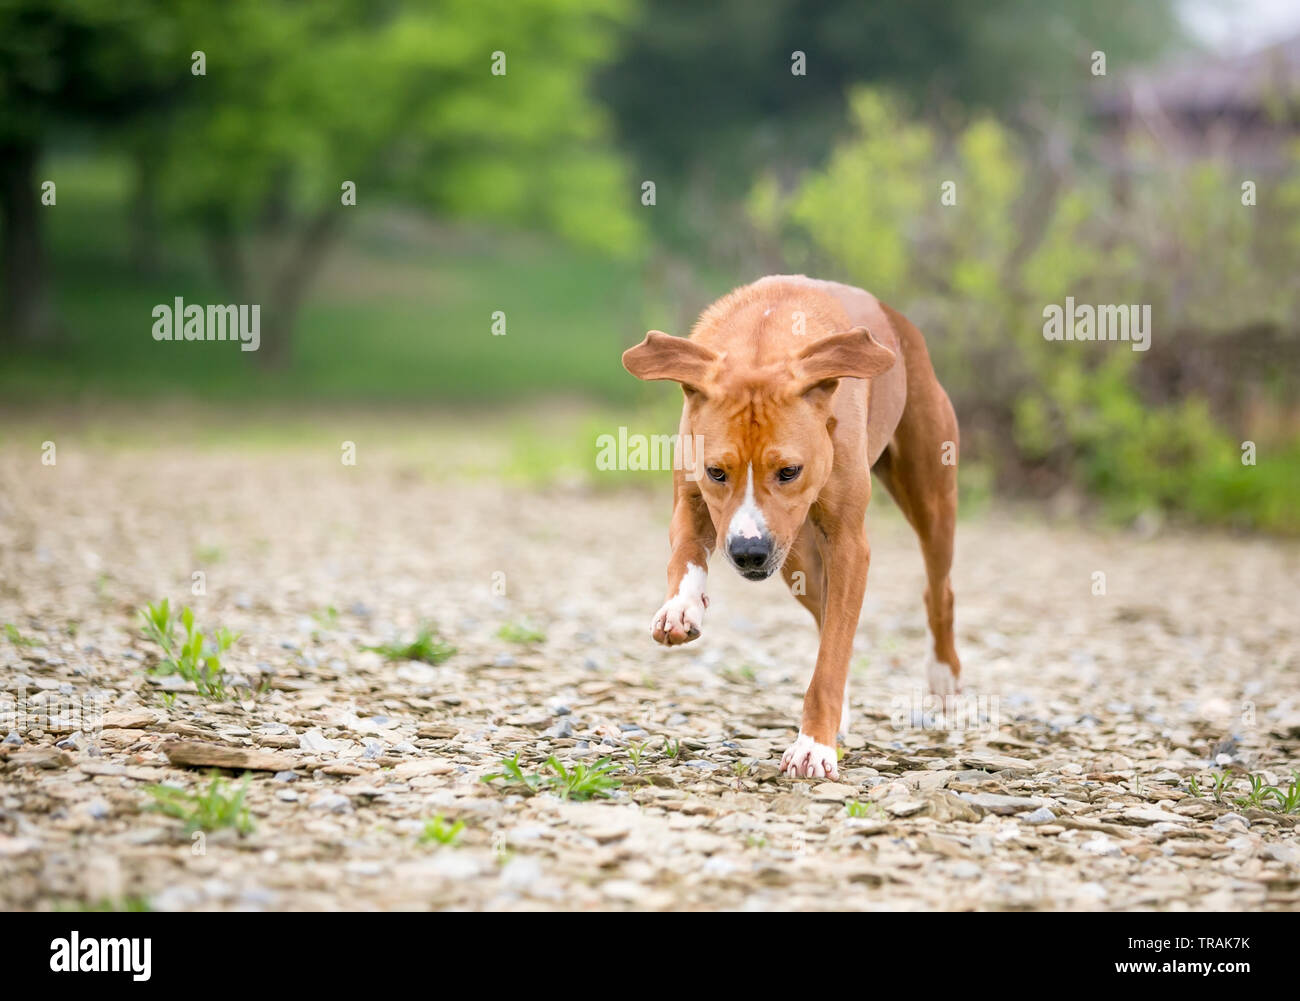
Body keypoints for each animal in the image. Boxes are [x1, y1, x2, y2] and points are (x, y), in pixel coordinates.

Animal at [624, 275, 961, 780]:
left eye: (789, 471)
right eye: (716, 472)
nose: (748, 551)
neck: (762, 345)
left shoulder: (848, 544)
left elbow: (833, 653)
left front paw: (814, 745)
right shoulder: (691, 497)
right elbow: (684, 553)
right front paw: (682, 607)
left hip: (931, 497)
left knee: (938, 590)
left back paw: (944, 677)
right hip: (796, 558)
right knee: (824, 615)